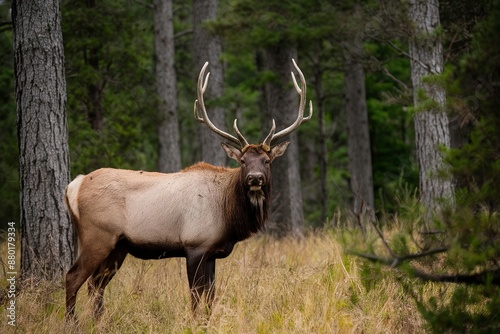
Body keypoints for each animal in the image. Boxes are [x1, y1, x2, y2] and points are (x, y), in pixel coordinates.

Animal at [63, 58, 312, 320]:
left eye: (267, 161)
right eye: (243, 161)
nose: (255, 178)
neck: (228, 213)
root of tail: (74, 185)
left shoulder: (212, 252)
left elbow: (210, 296)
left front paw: (208, 322)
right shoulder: (195, 245)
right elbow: (195, 296)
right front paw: (194, 322)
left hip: (118, 246)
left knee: (95, 285)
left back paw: (97, 322)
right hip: (97, 236)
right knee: (73, 277)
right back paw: (73, 323)